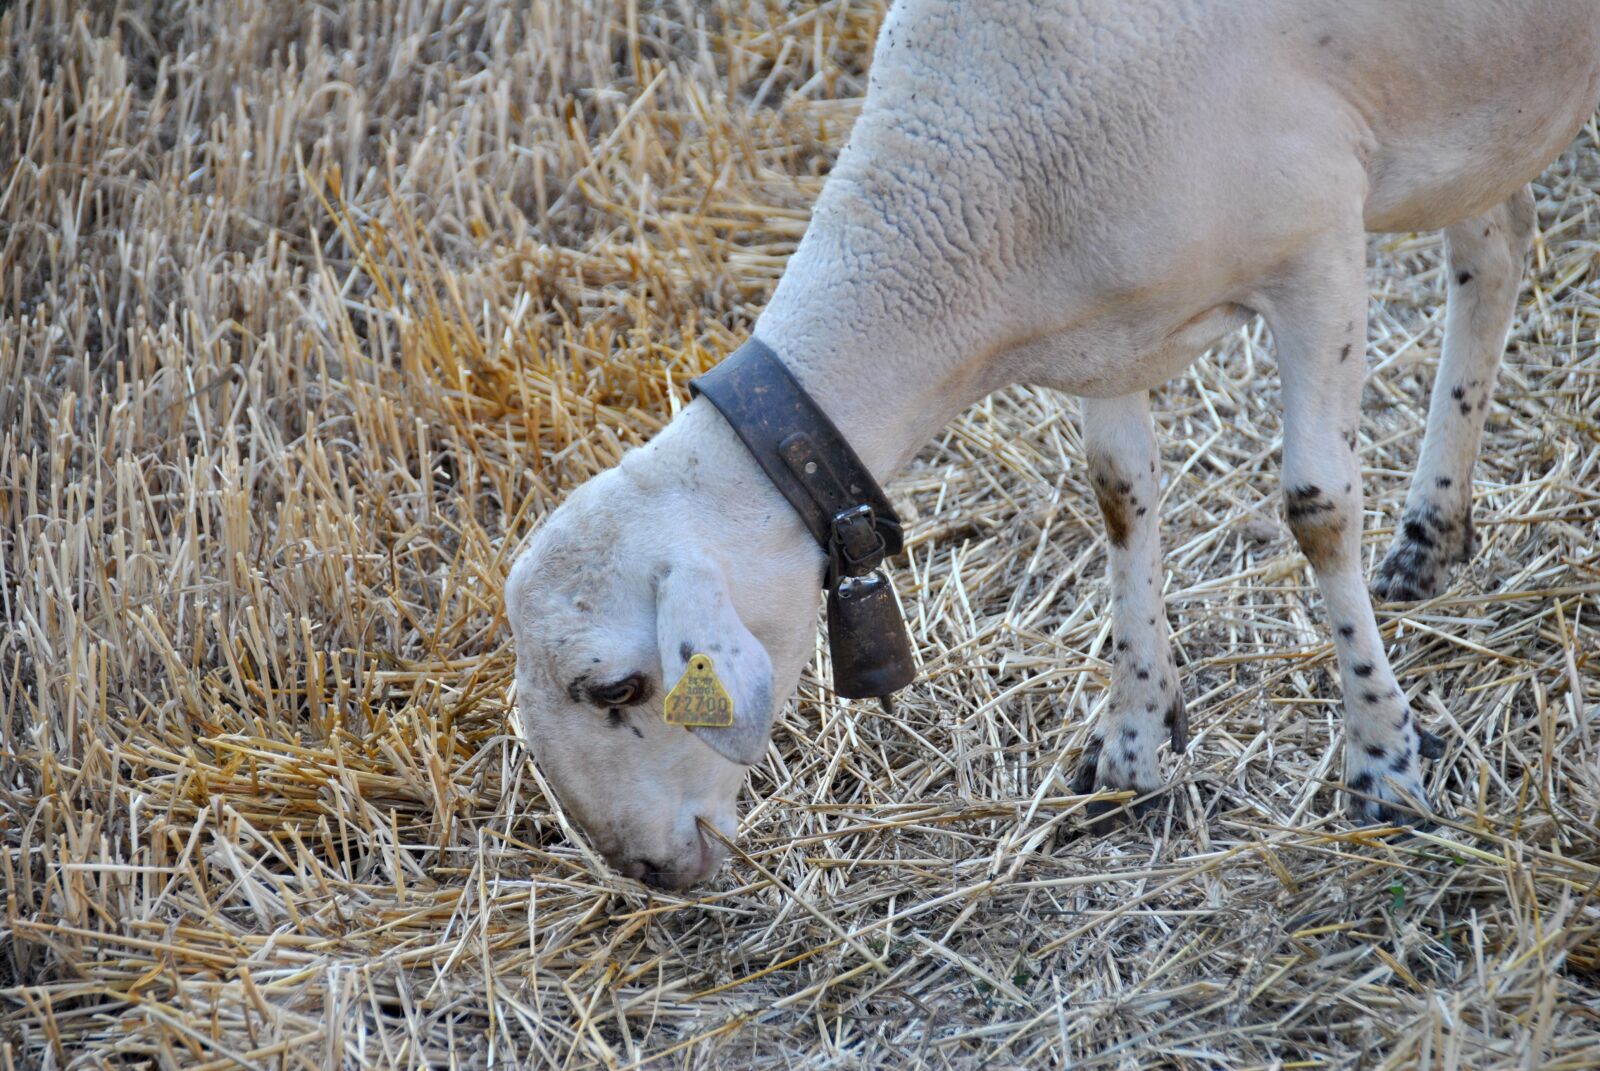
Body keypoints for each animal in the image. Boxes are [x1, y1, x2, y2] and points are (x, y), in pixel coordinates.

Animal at [505, 0, 1600, 889]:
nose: (641, 868)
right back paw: (1432, 531)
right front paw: (1132, 750)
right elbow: (1119, 496)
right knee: (1497, 244)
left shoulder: (1319, 252)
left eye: (615, 687)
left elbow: (1317, 511)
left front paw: (1382, 763)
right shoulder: (1110, 326)